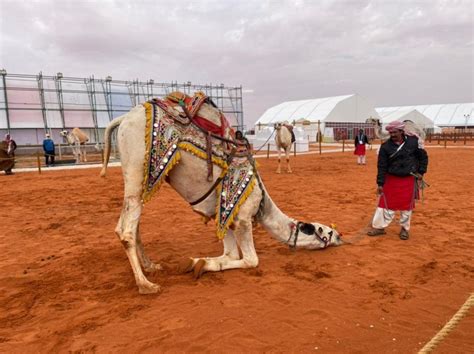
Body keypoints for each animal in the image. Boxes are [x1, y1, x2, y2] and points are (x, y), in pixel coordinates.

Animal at [101, 93, 344, 294]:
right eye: (326, 231)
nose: (341, 237)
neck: (262, 204)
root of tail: (123, 119)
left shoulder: (224, 215)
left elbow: (230, 255)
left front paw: (197, 263)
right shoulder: (242, 217)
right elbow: (251, 260)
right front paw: (199, 264)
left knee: (132, 226)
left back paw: (151, 266)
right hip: (136, 171)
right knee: (126, 230)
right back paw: (146, 284)